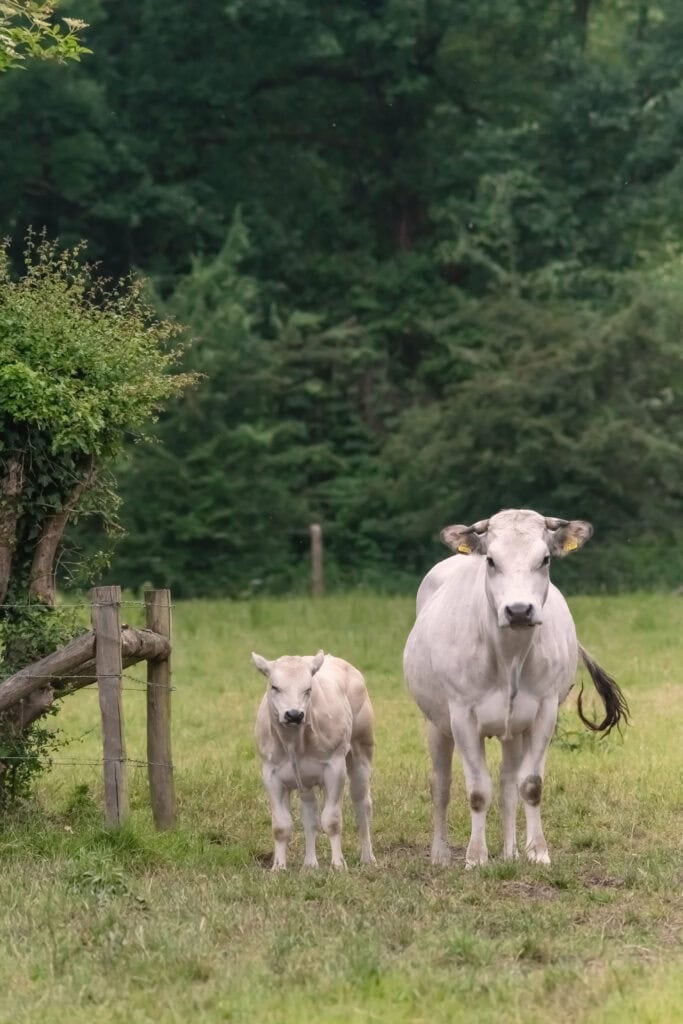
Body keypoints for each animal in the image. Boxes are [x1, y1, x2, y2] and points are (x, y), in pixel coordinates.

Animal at [251, 650, 376, 871]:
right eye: (275, 687)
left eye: (308, 689)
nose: (294, 714)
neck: (293, 743)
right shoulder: (270, 774)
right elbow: (281, 826)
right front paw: (278, 867)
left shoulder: (335, 769)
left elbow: (332, 821)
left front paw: (338, 865)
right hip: (304, 780)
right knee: (310, 816)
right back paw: (310, 864)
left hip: (361, 752)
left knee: (362, 805)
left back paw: (367, 857)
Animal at [403, 508, 628, 869]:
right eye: (492, 560)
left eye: (545, 559)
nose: (519, 610)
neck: (509, 657)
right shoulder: (462, 717)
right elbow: (478, 790)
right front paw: (475, 857)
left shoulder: (544, 713)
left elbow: (530, 785)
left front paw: (537, 851)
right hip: (435, 722)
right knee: (441, 783)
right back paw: (440, 853)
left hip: (514, 731)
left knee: (508, 781)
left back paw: (509, 852)